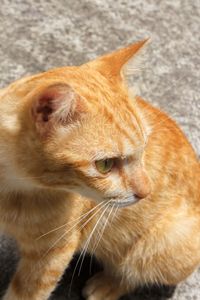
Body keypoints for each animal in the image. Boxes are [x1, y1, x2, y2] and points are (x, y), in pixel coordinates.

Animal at [0, 39, 199, 300]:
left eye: (144, 147)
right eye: (105, 164)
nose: (146, 193)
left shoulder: (52, 254)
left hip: (168, 243)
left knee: (134, 273)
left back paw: (107, 285)